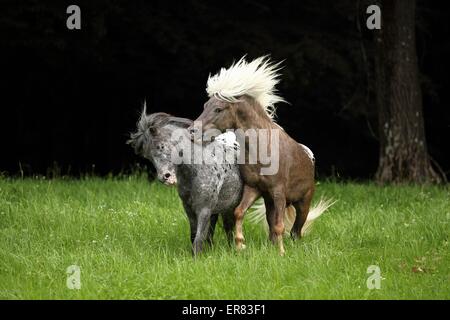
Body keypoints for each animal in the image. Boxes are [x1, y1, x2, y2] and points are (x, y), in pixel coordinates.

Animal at [191, 55, 316, 255]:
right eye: (205, 106)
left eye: (218, 109)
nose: (192, 131)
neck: (261, 149)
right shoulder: (254, 189)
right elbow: (239, 213)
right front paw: (240, 245)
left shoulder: (279, 192)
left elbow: (280, 226)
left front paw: (281, 254)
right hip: (269, 202)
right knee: (273, 225)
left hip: (303, 202)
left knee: (296, 231)